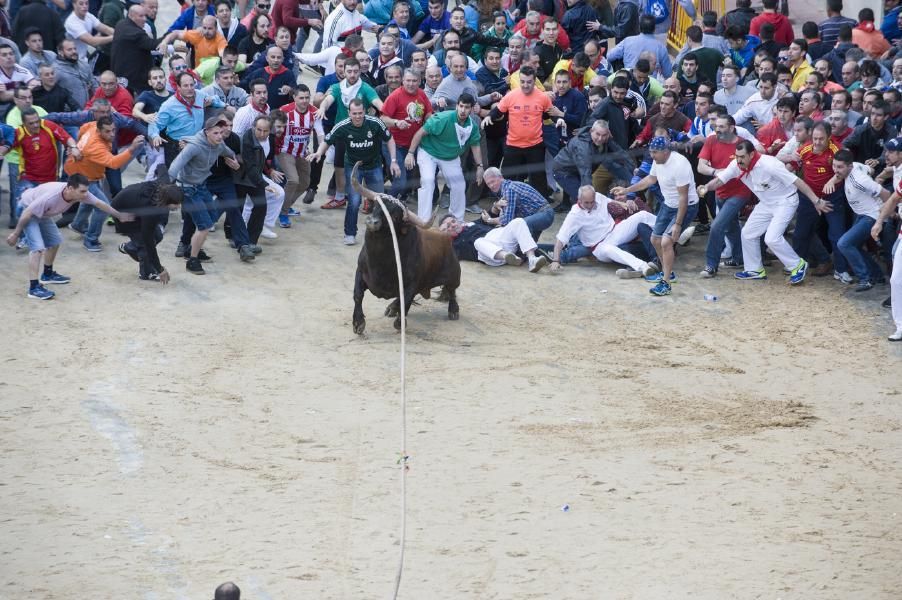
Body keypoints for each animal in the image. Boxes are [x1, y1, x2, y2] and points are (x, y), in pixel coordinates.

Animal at [350, 164, 462, 332]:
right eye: (376, 206)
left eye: (395, 216)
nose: (372, 222)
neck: (380, 262)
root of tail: (445, 235)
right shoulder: (360, 272)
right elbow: (358, 295)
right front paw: (358, 323)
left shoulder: (410, 284)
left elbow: (406, 302)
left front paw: (400, 322)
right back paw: (391, 308)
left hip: (454, 275)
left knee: (452, 290)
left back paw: (453, 311)